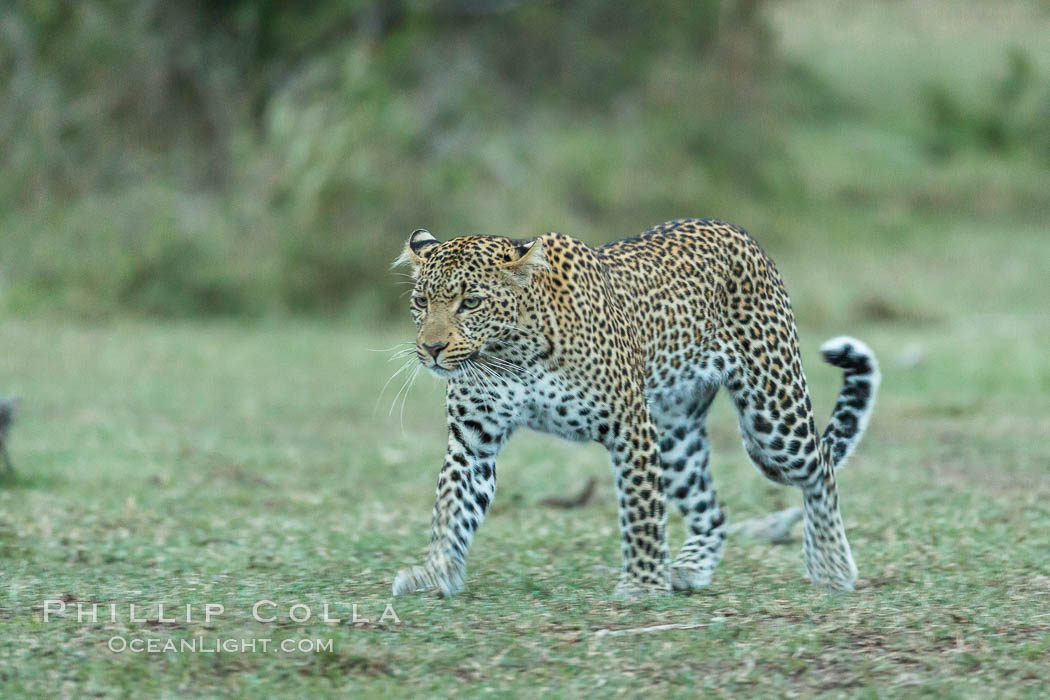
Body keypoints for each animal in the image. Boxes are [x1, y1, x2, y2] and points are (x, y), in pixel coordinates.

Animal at [386, 217, 877, 596]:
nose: (431, 348)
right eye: (421, 301)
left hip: (772, 416)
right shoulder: (473, 440)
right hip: (677, 435)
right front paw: (434, 573)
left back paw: (832, 565)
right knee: (712, 511)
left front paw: (642, 584)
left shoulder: (630, 425)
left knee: (821, 464)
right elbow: (452, 506)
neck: (511, 354)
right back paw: (690, 568)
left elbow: (642, 511)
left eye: (471, 302)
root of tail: (739, 232)